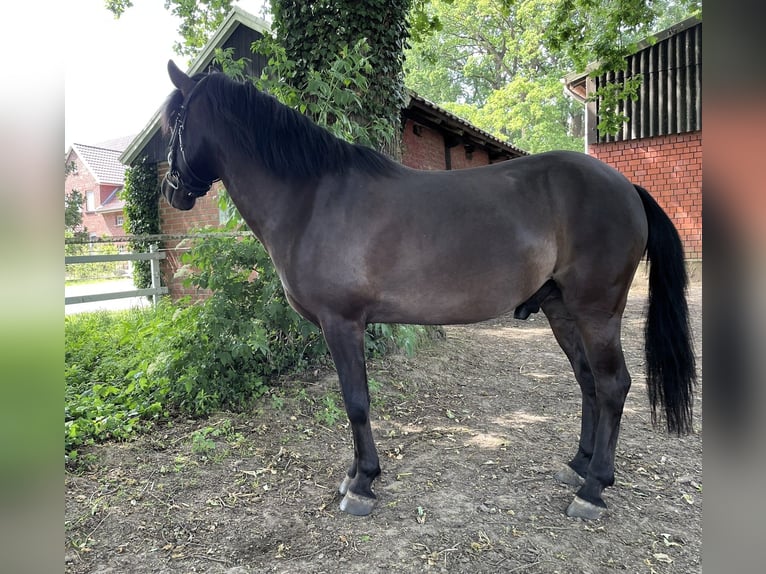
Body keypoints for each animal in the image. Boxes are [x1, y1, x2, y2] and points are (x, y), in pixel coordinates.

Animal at [160, 60, 696, 520]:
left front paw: (362, 483)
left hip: (596, 312)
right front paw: (353, 475)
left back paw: (594, 488)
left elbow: (356, 402)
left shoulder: (342, 324)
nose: (172, 191)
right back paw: (579, 466)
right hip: (562, 310)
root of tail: (627, 188)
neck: (312, 198)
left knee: (613, 385)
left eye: (173, 125)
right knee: (588, 382)